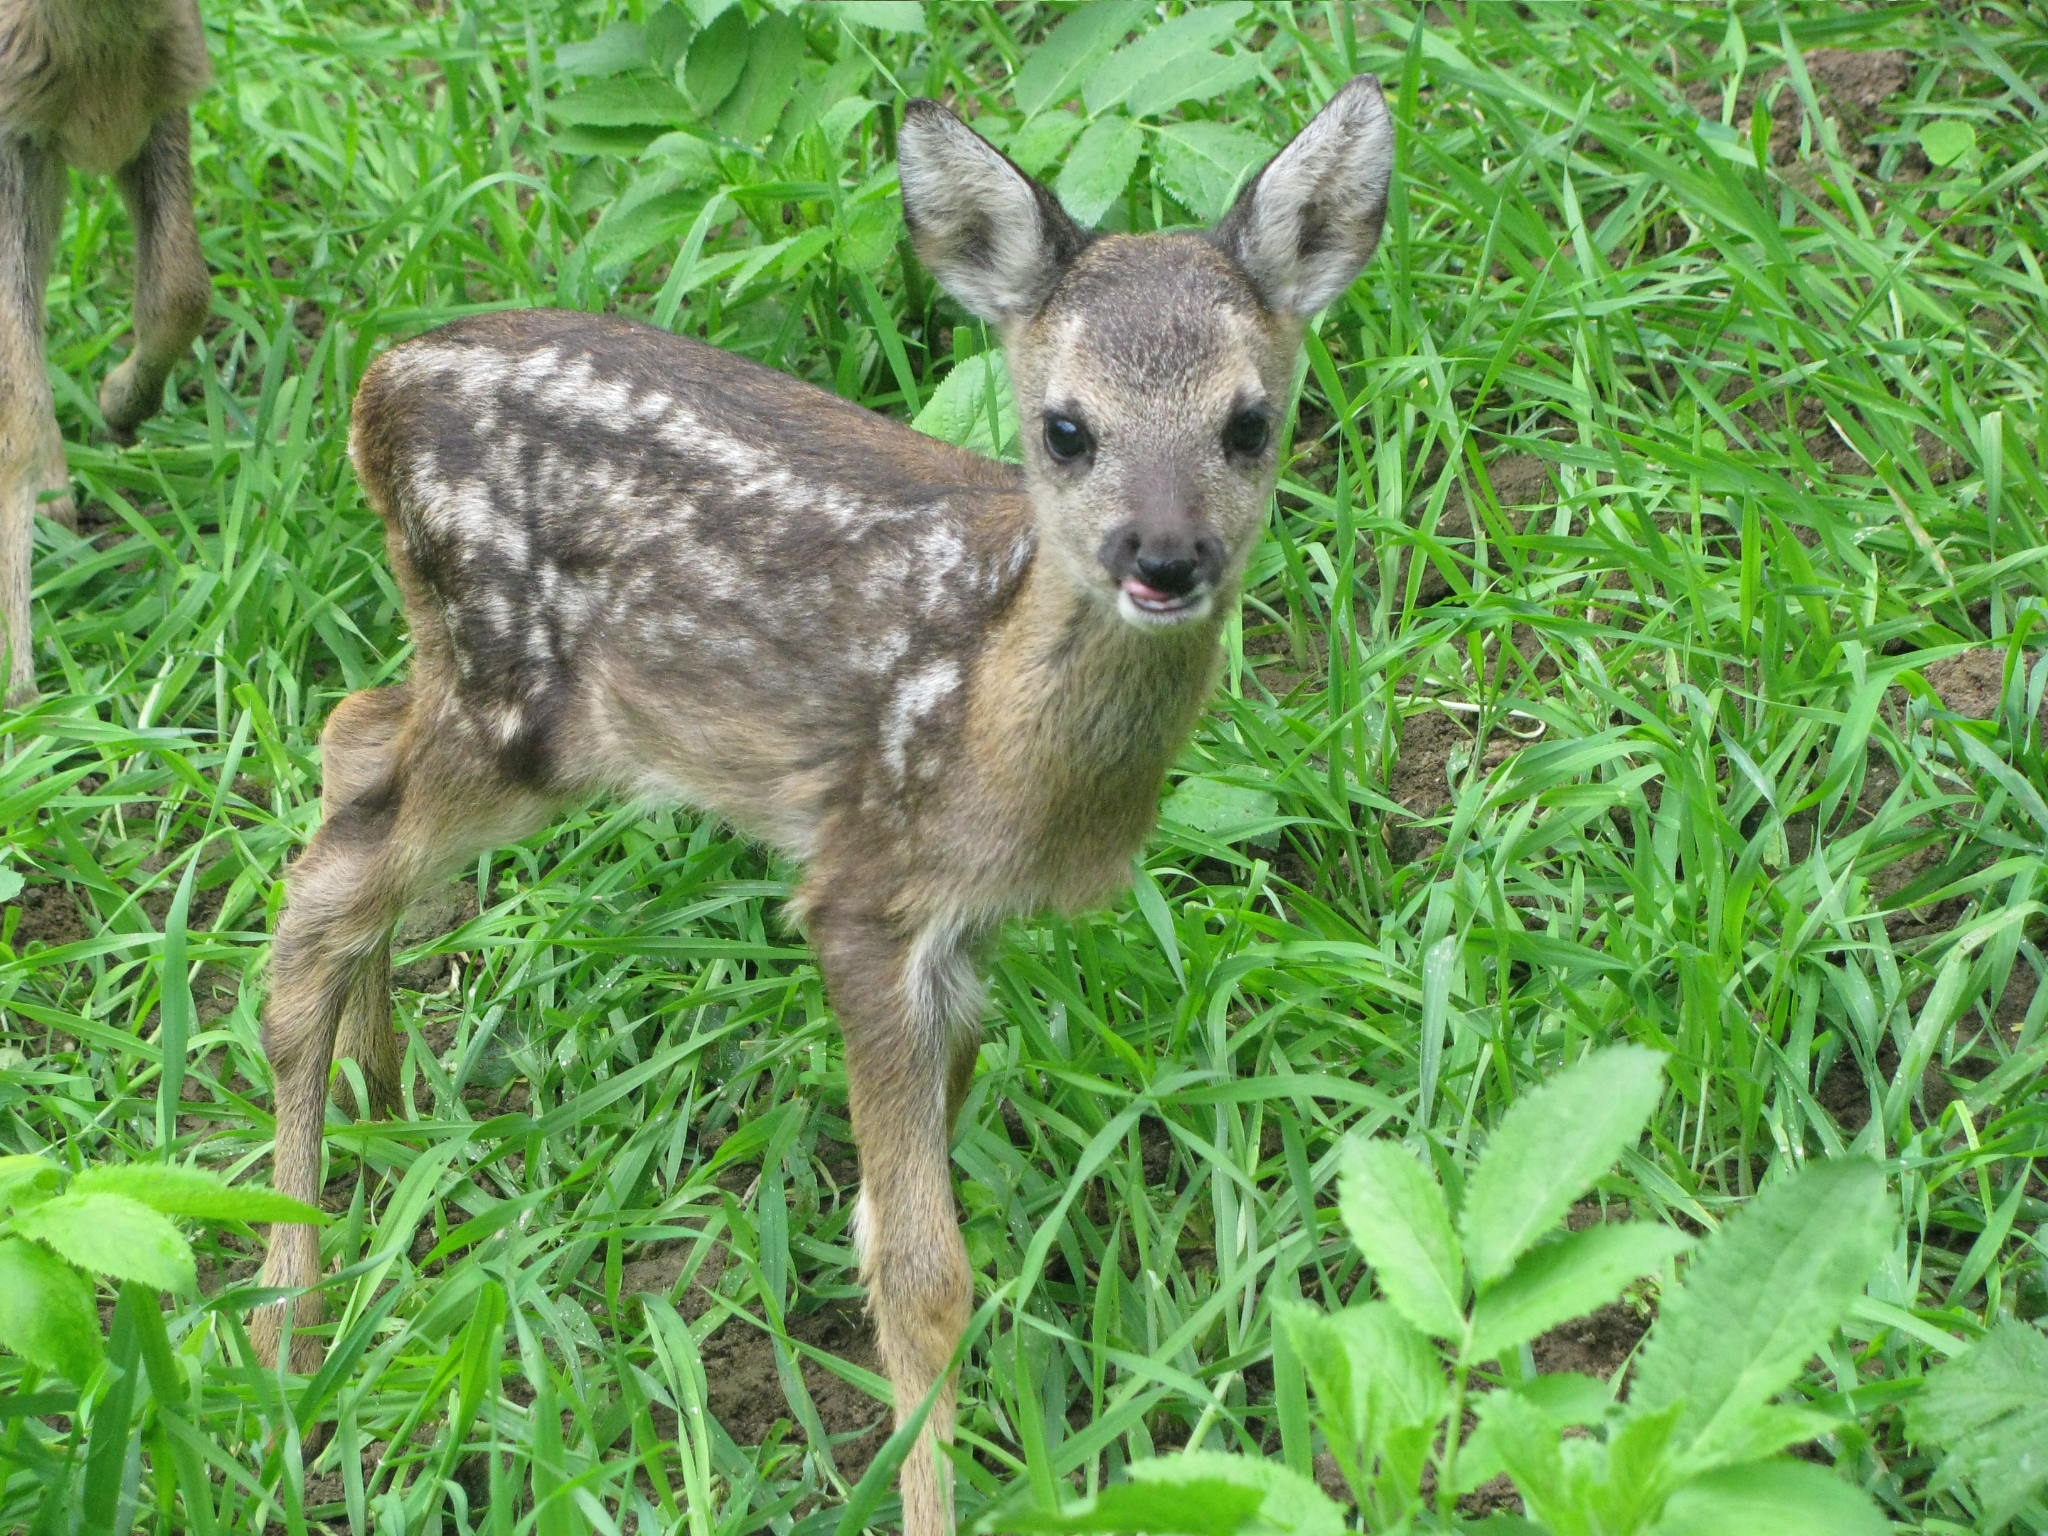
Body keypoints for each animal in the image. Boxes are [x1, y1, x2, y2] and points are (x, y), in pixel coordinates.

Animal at [256, 78, 1400, 1531]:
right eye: (1066, 428)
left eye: (1249, 422)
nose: (1163, 556)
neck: (995, 721)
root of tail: (372, 385)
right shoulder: (861, 889)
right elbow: (924, 1276)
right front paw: (927, 1495)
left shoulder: (963, 927)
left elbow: (904, 1196)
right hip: (520, 707)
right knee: (326, 884)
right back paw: (282, 1323)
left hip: (464, 680)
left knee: (350, 746)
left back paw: (386, 1093)